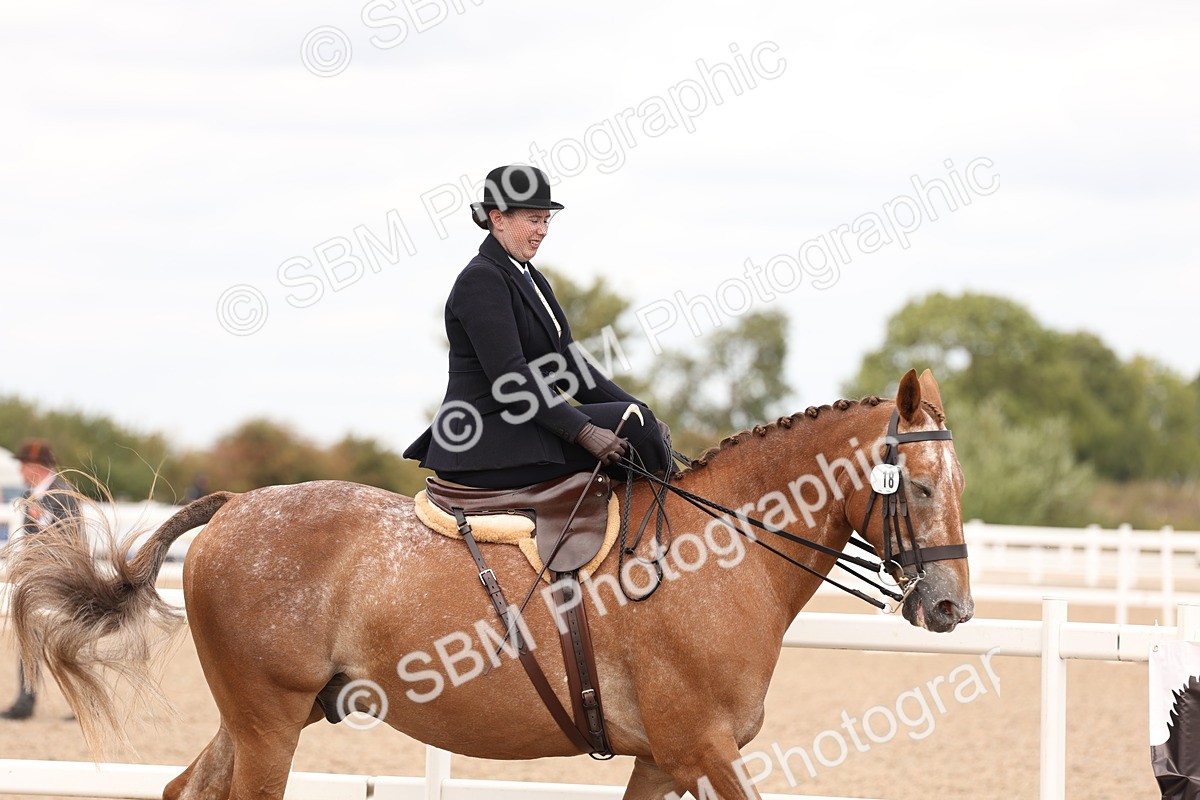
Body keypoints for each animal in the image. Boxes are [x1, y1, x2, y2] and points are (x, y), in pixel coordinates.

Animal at [6, 368, 972, 800]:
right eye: (921, 488)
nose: (952, 607)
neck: (717, 554)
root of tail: (238, 504)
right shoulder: (703, 748)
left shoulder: (662, 758)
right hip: (268, 722)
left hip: (266, 715)